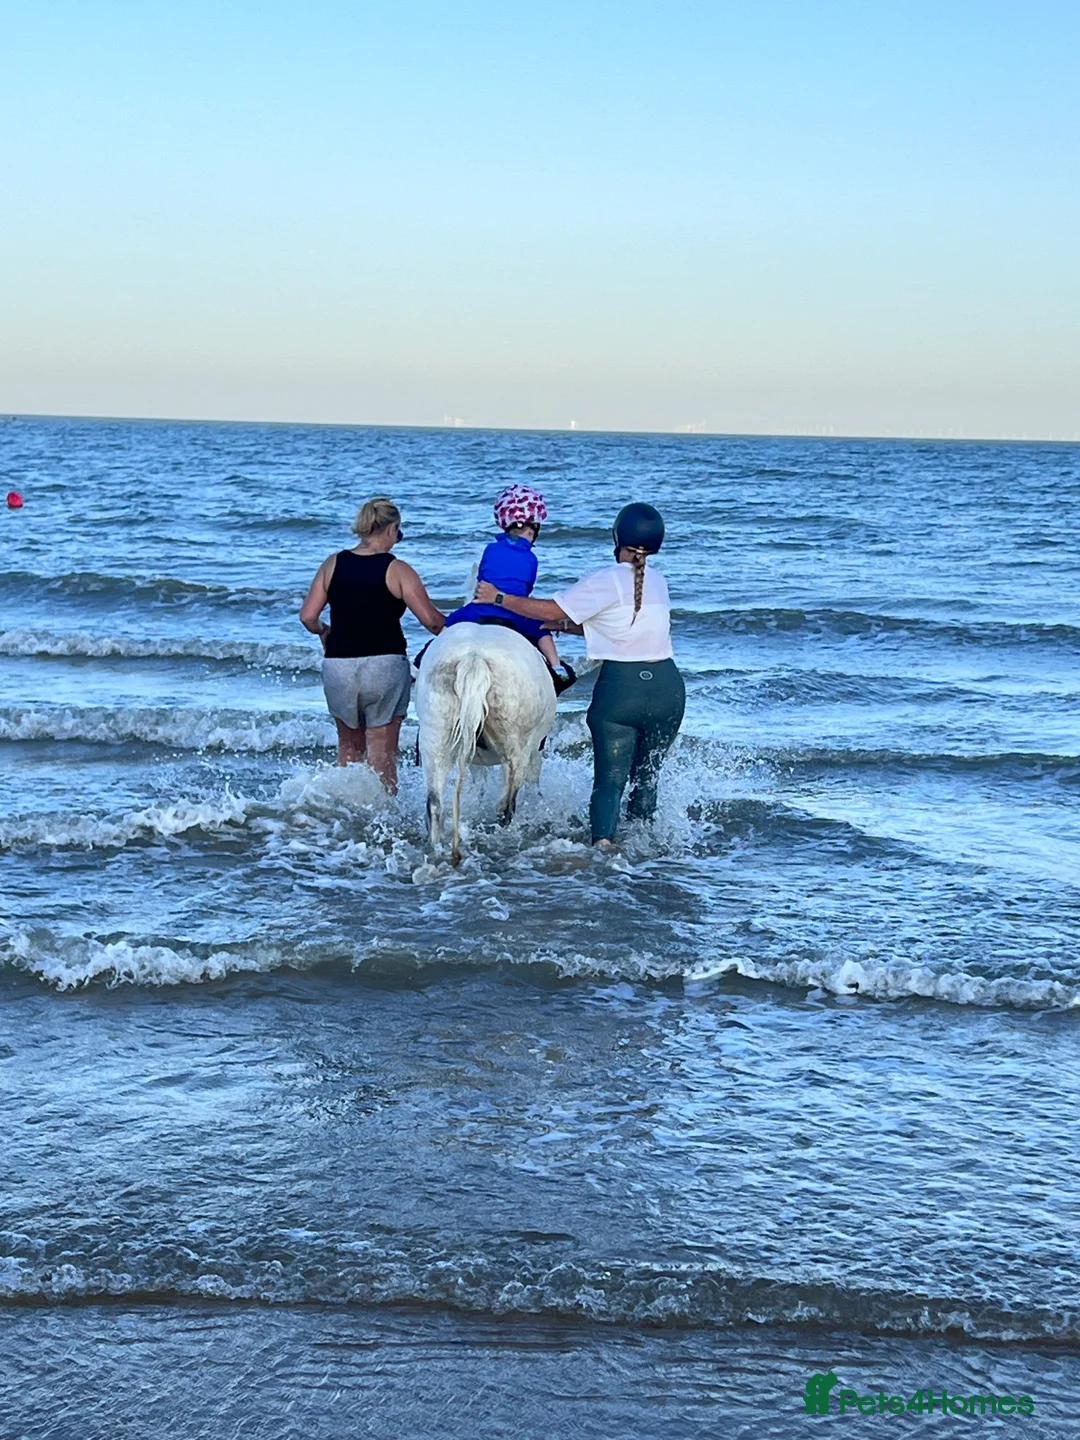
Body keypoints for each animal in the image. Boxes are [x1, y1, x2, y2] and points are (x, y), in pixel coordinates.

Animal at [414, 623, 557, 865]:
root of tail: (474, 658)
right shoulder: (533, 750)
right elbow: (532, 778)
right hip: (515, 748)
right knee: (506, 805)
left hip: (435, 737)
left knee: (434, 803)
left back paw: (436, 847)